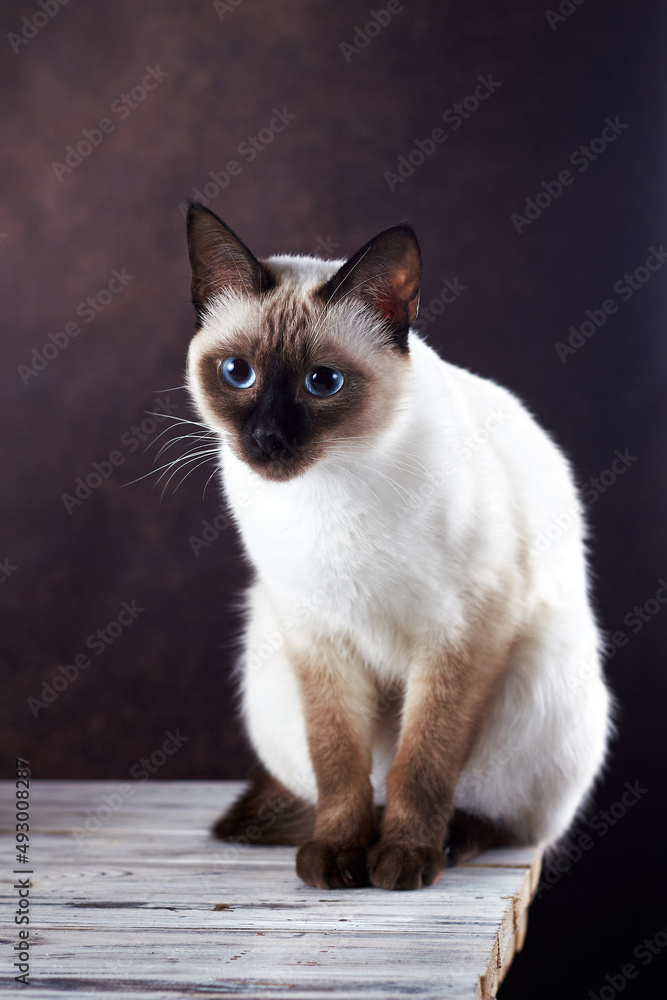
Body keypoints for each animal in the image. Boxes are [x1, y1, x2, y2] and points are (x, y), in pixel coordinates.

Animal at [183, 203, 612, 892]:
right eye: (236, 373)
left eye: (323, 382)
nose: (267, 439)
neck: (329, 490)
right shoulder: (319, 639)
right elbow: (338, 765)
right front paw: (338, 857)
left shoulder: (459, 634)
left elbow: (425, 764)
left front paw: (403, 859)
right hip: (267, 660)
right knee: (355, 787)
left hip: (538, 677)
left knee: (509, 819)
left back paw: (446, 843)